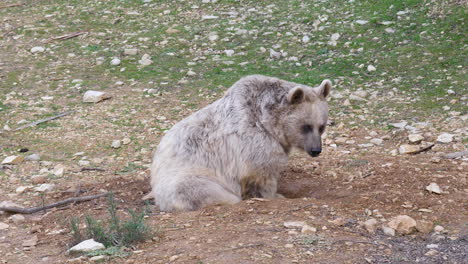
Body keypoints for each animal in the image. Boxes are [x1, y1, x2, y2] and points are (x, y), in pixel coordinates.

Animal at [149, 75, 330, 211]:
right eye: (306, 126)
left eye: (321, 126)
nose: (316, 150)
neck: (269, 123)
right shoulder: (253, 141)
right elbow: (262, 173)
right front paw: (274, 195)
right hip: (187, 177)